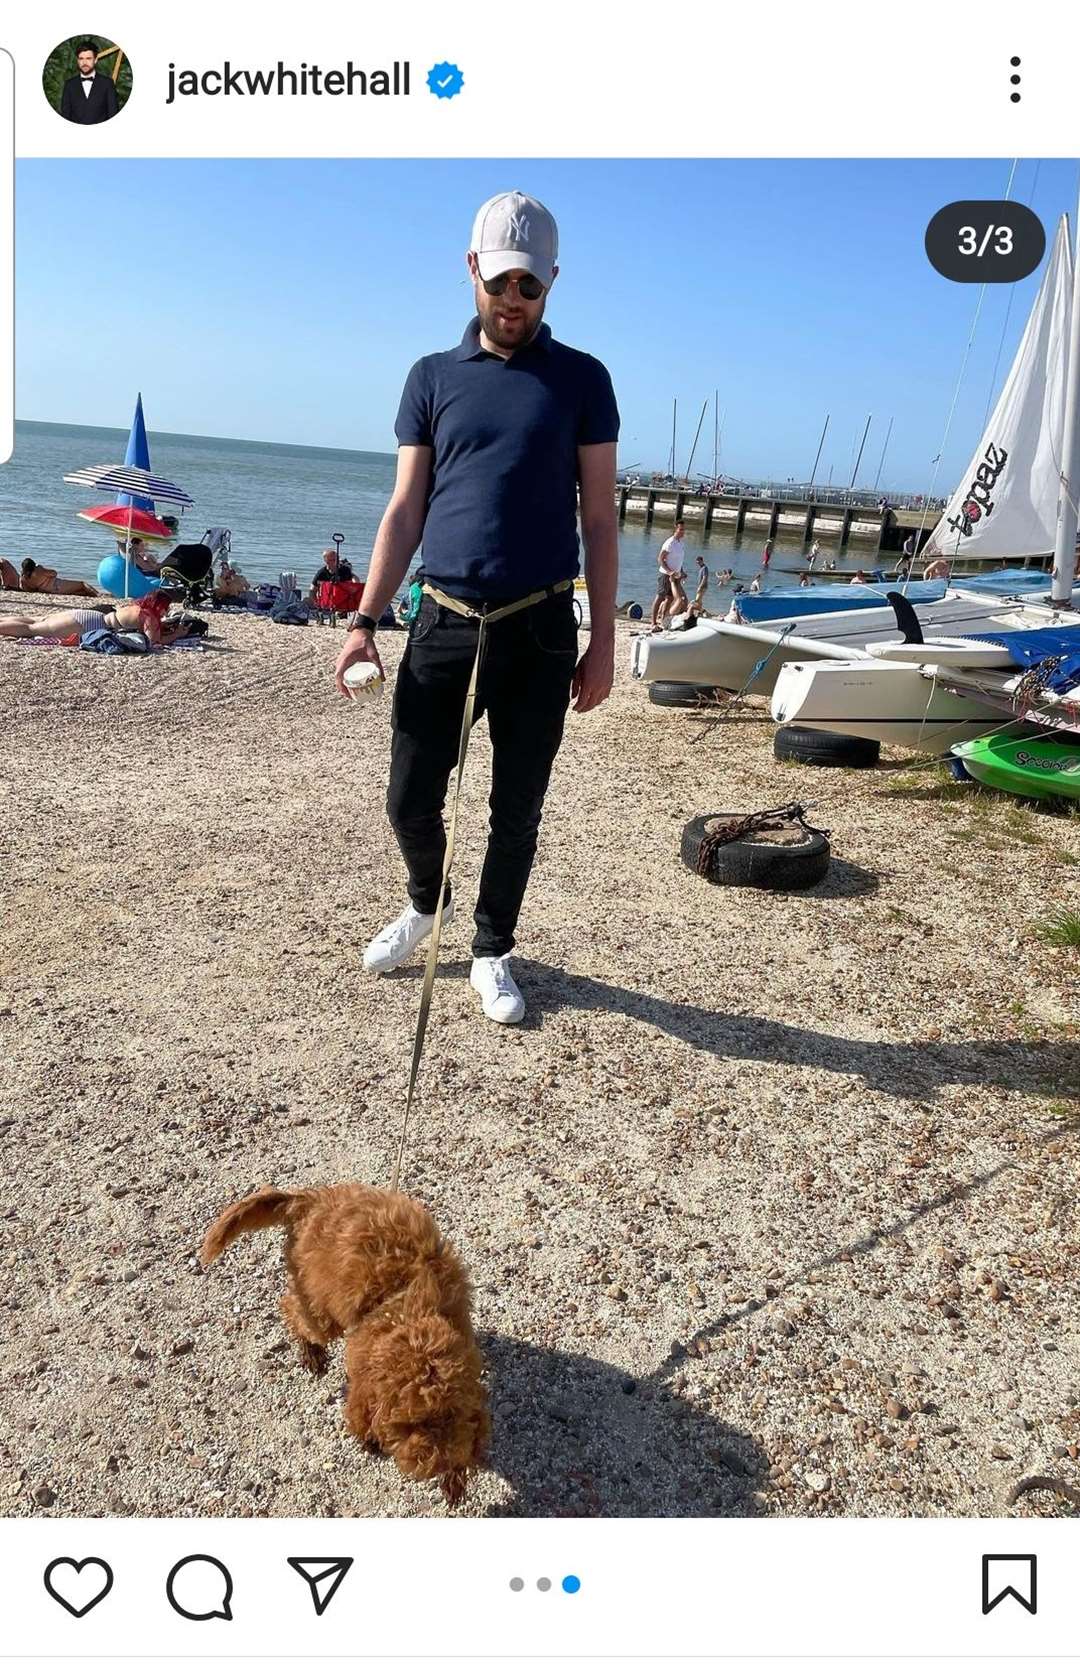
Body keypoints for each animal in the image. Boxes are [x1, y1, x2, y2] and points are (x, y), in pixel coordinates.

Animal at [198, 1184, 489, 1510]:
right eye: (410, 1424)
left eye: (450, 1416)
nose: (438, 1463)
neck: (414, 1310)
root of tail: (310, 1198)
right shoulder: (363, 1373)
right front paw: (370, 1440)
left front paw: (455, 1478)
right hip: (319, 1303)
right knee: (292, 1309)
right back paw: (311, 1353)